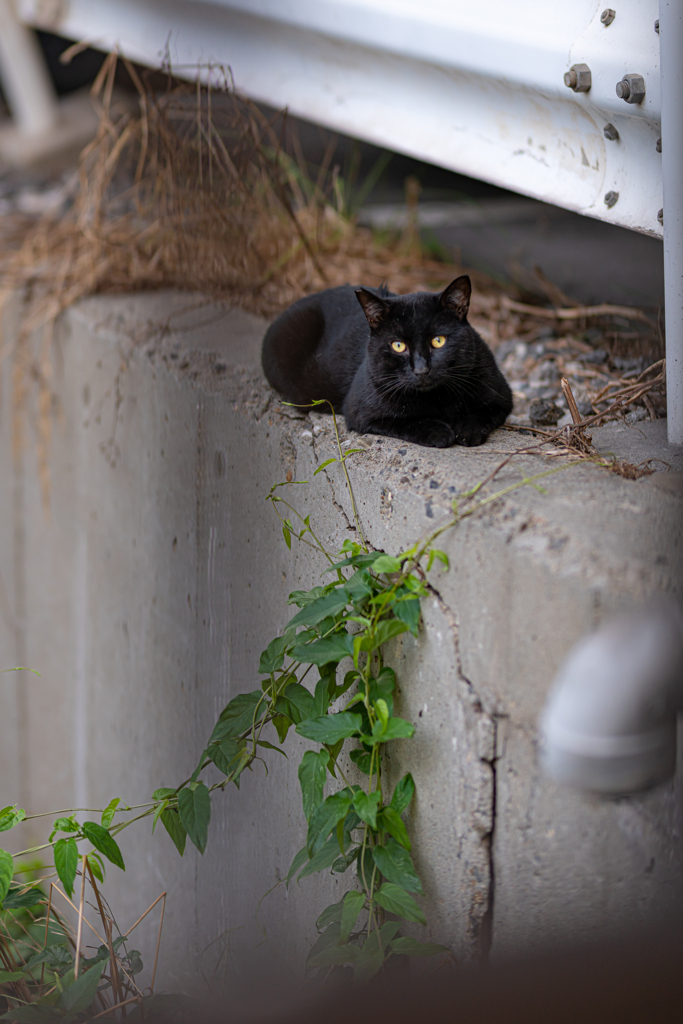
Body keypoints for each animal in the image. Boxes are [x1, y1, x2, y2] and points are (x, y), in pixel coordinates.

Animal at [262, 276, 511, 448]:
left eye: (438, 341)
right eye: (398, 346)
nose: (421, 370)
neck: (437, 399)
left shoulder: (501, 396)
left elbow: (482, 413)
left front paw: (467, 430)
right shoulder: (361, 411)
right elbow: (404, 420)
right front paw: (438, 431)